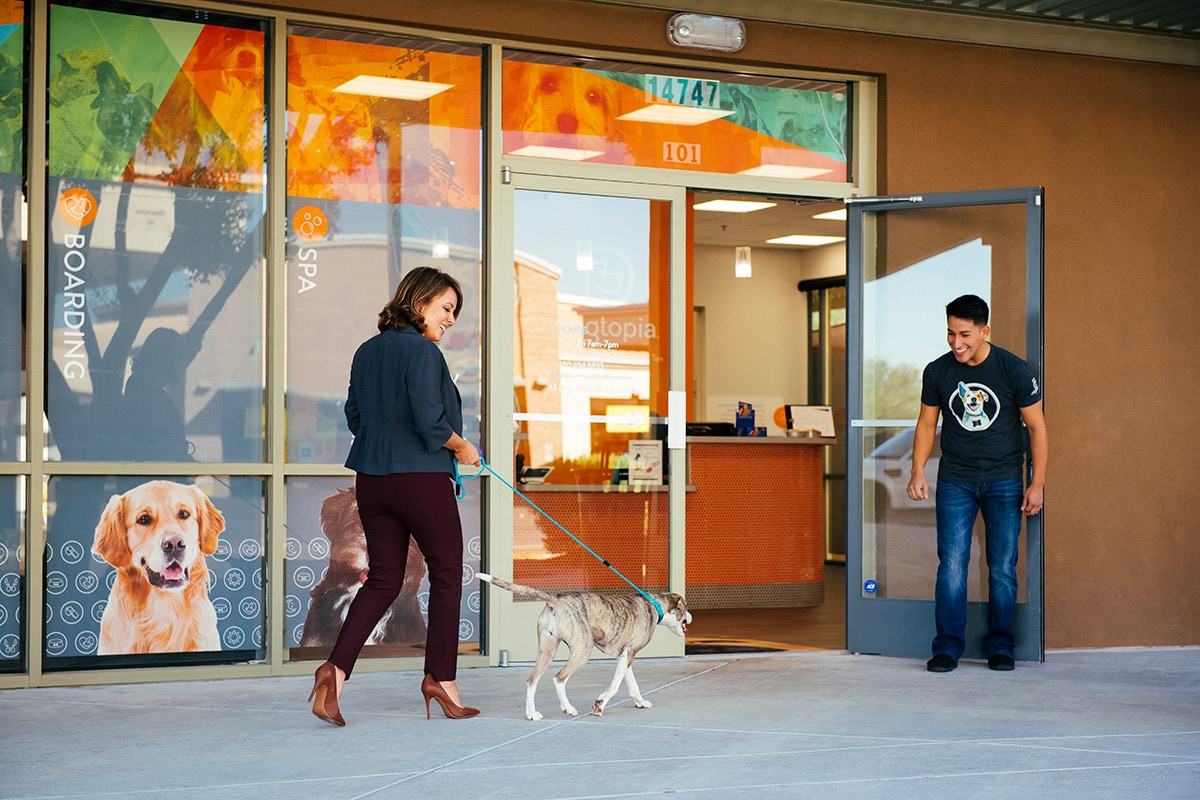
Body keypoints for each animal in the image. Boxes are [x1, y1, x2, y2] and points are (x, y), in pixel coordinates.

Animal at [472, 575, 691, 719]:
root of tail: (554, 600)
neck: (655, 606)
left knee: (532, 680)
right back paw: (568, 708)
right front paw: (600, 705)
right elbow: (614, 686)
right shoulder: (629, 653)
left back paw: (532, 714)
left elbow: (631, 683)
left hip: (547, 650)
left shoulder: (625, 655)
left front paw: (640, 702)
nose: (690, 617)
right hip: (582, 649)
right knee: (559, 678)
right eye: (685, 607)